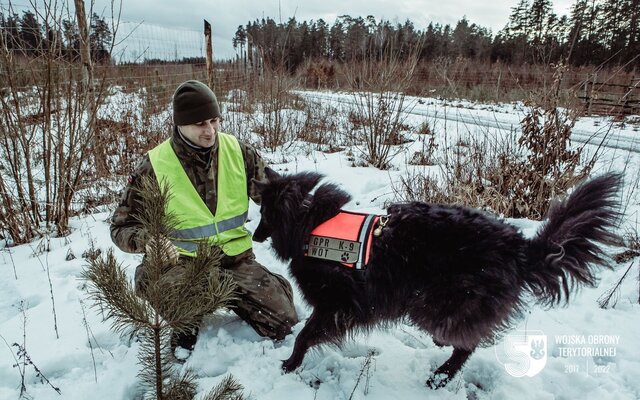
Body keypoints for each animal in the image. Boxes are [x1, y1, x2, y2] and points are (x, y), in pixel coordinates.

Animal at [252, 170, 624, 390]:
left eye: (264, 214)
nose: (254, 236)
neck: (307, 222)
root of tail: (519, 248)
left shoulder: (337, 305)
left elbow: (306, 335)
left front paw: (290, 364)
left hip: (432, 303)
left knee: (466, 344)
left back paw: (442, 375)